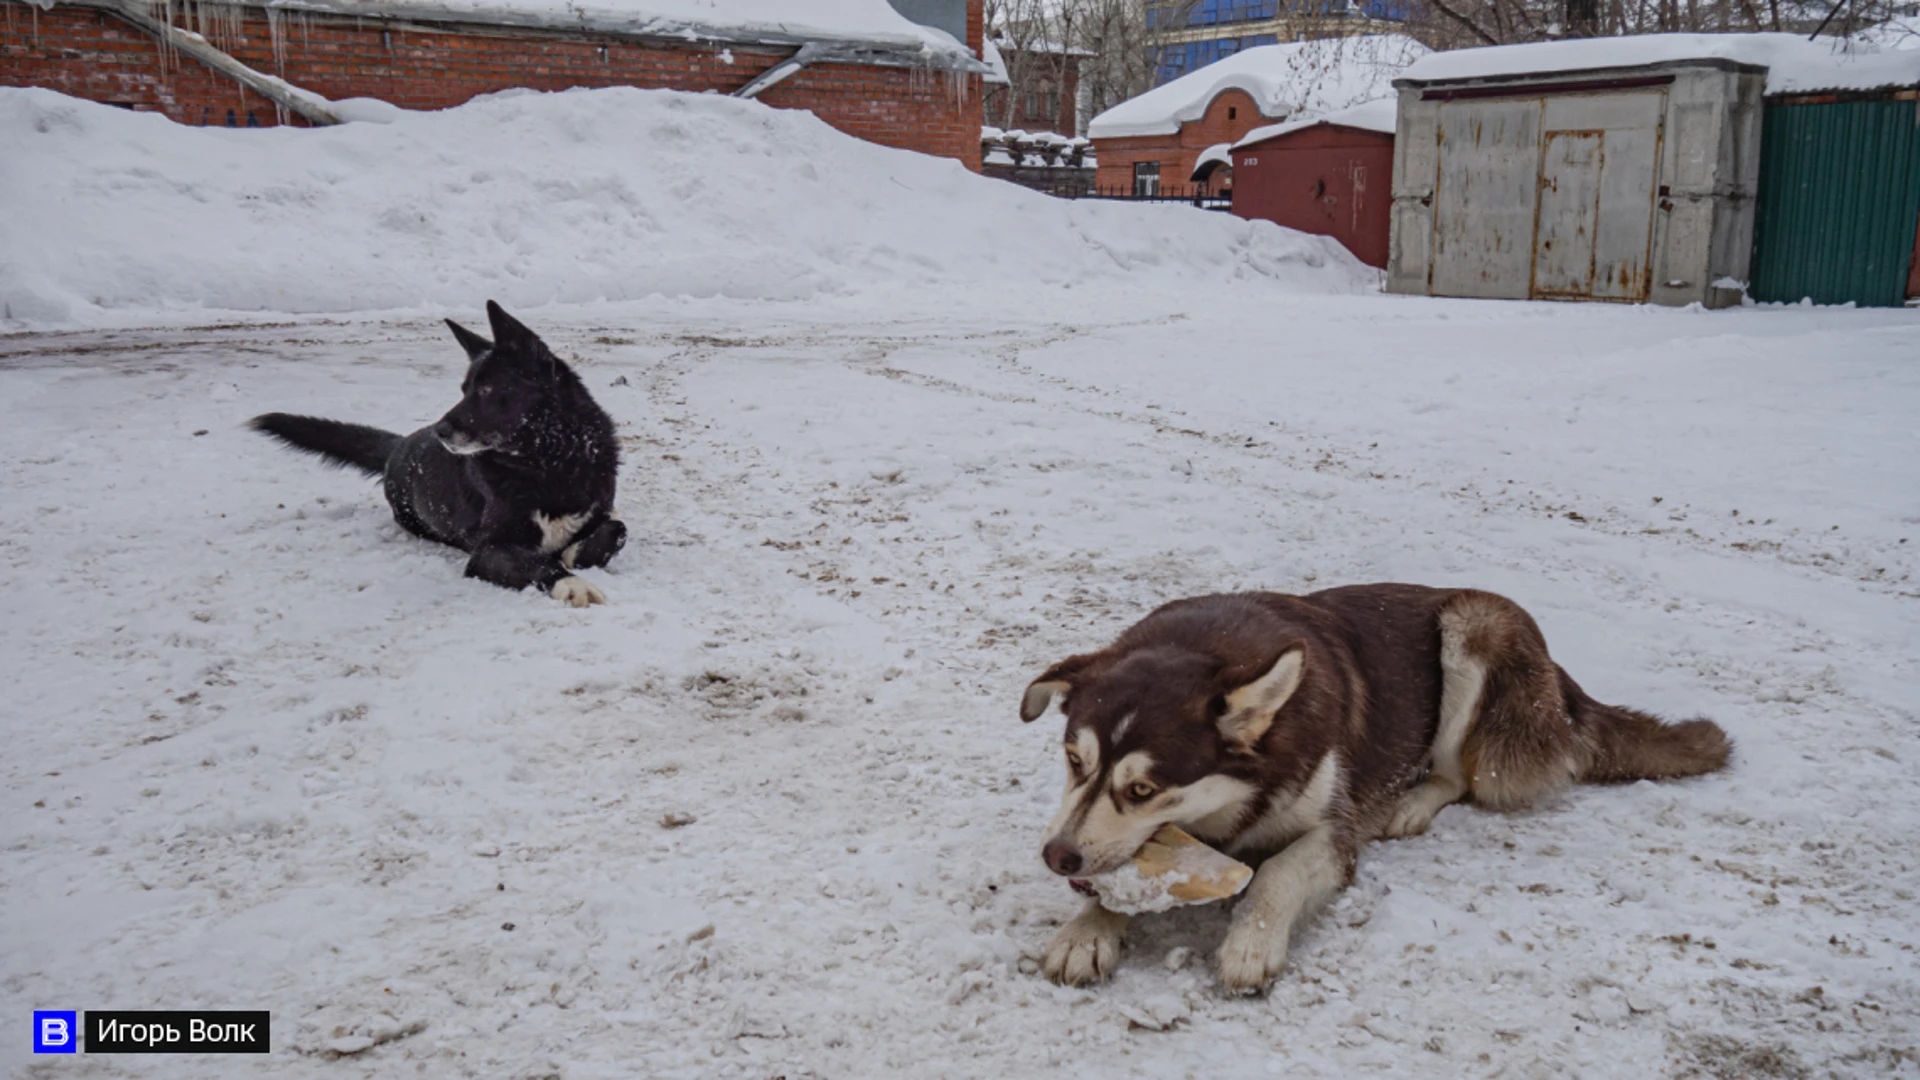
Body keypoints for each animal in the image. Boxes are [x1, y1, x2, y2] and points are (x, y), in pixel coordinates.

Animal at [251, 303, 625, 599]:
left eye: (487, 390)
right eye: (464, 389)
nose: (440, 431)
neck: (549, 460)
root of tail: (398, 444)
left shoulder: (599, 512)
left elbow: (616, 529)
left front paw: (576, 553)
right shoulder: (489, 551)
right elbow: (536, 561)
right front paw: (572, 583)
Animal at [1029, 584, 1735, 991]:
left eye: (1143, 789)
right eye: (1073, 760)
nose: (1056, 856)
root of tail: (1558, 678)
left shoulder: (1331, 834)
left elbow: (1278, 874)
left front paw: (1251, 943)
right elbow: (1116, 880)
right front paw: (1088, 929)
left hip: (1473, 631)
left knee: (1462, 773)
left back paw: (1410, 803)